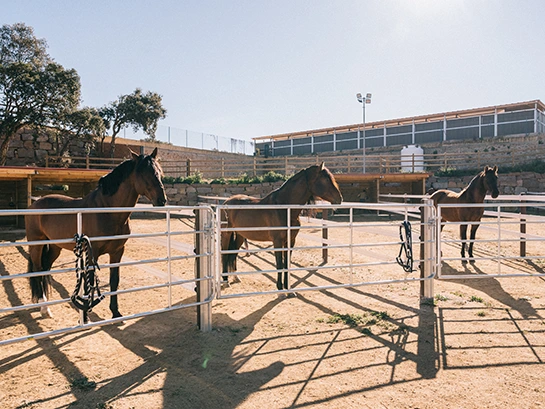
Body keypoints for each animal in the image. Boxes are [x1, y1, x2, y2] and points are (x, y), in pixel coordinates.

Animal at [26, 148, 166, 320]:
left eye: (159, 173)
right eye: (144, 174)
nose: (162, 200)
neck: (107, 211)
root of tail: (35, 204)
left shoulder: (117, 252)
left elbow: (114, 281)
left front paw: (115, 312)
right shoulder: (93, 254)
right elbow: (90, 282)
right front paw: (86, 313)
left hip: (54, 247)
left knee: (45, 269)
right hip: (36, 245)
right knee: (38, 270)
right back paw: (44, 308)